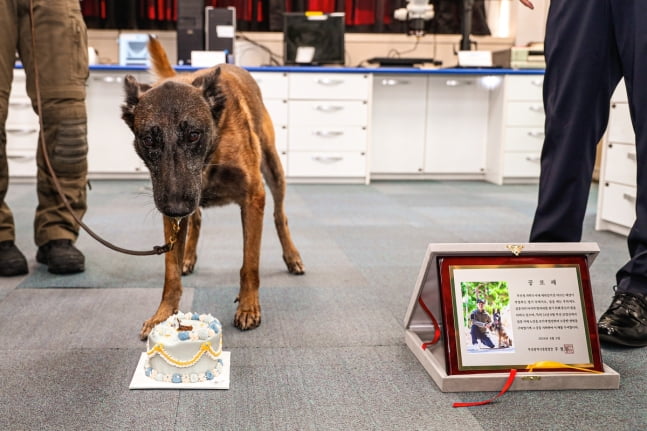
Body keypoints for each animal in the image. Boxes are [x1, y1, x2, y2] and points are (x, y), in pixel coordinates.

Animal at [123, 37, 306, 340]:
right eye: (148, 140)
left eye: (193, 135)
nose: (175, 207)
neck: (210, 155)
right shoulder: (172, 207)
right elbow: (170, 272)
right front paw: (163, 314)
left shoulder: (253, 198)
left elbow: (249, 263)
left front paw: (248, 306)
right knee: (196, 219)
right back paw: (188, 256)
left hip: (273, 170)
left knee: (281, 216)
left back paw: (292, 256)